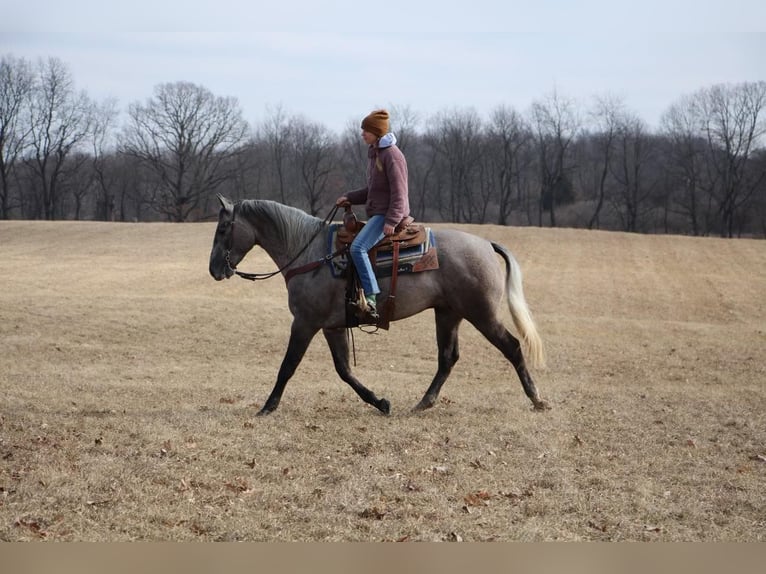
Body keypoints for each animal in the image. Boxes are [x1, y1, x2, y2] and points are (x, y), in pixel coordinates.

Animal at [207, 196, 548, 416]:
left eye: (223, 229)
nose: (214, 269)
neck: (311, 255)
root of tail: (486, 244)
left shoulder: (305, 322)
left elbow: (288, 365)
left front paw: (268, 407)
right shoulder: (331, 326)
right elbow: (344, 370)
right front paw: (380, 402)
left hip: (482, 314)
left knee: (512, 347)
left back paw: (536, 398)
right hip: (448, 314)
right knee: (448, 358)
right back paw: (423, 403)